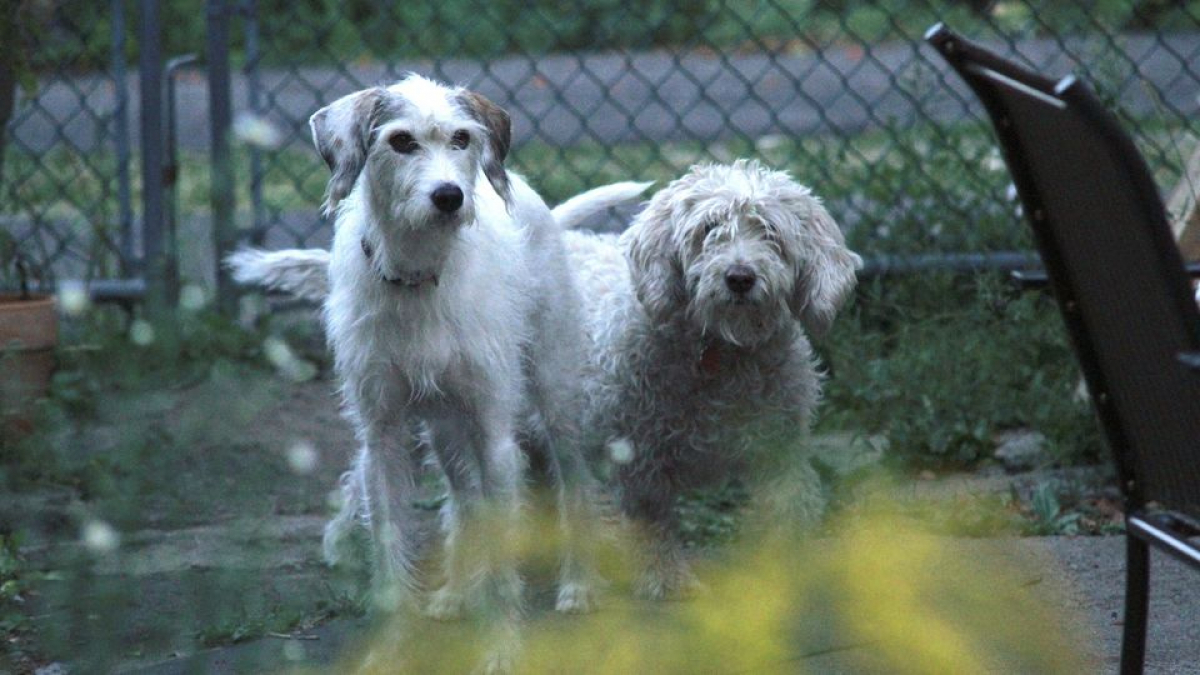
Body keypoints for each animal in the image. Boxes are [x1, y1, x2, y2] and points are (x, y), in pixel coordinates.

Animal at [228, 77, 648, 662]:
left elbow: (504, 552)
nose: (449, 196)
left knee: (574, 484)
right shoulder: (382, 437)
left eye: (461, 138)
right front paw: (391, 651)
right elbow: (392, 552)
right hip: (445, 428)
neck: (418, 277)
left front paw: (501, 650)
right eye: (401, 141)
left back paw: (578, 585)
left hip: (553, 395)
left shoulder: (495, 435)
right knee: (462, 502)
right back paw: (455, 593)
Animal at [564, 159, 864, 595]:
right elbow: (651, 519)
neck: (722, 351)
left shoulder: (780, 450)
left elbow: (783, 511)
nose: (740, 277)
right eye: (709, 228)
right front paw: (665, 579)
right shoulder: (640, 454)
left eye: (770, 231)